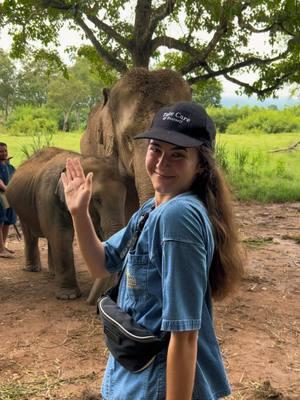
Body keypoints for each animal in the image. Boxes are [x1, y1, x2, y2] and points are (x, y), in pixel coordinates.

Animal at [6, 148, 125, 302]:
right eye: (96, 199)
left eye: (124, 197)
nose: (91, 301)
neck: (79, 160)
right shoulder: (49, 197)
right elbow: (61, 235)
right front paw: (68, 296)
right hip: (21, 209)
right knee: (32, 235)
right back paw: (32, 269)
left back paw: (53, 273)